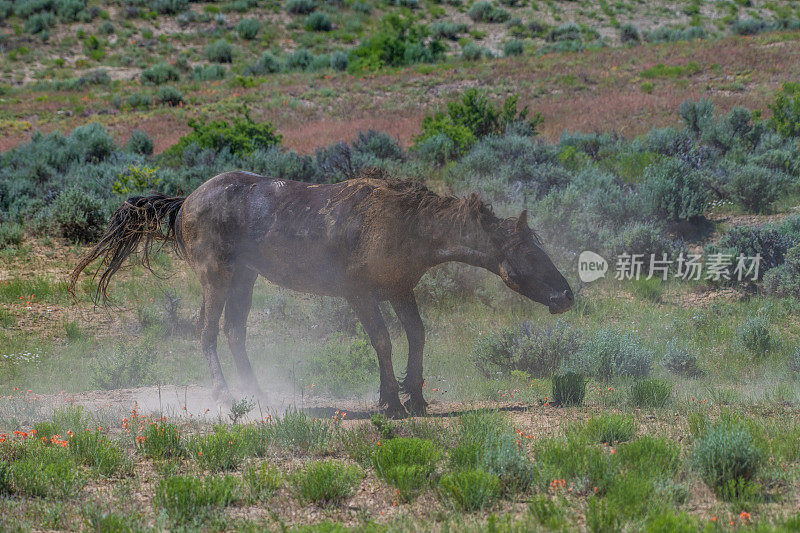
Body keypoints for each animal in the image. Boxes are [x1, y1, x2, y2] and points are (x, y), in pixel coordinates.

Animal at [67, 168, 568, 414]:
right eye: (528, 251)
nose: (566, 296)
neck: (406, 225)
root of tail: (185, 201)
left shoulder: (400, 289)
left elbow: (416, 336)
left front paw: (415, 396)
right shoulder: (360, 293)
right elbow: (383, 340)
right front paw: (391, 402)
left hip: (245, 278)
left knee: (234, 332)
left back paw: (258, 393)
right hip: (216, 276)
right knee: (207, 333)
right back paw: (224, 395)